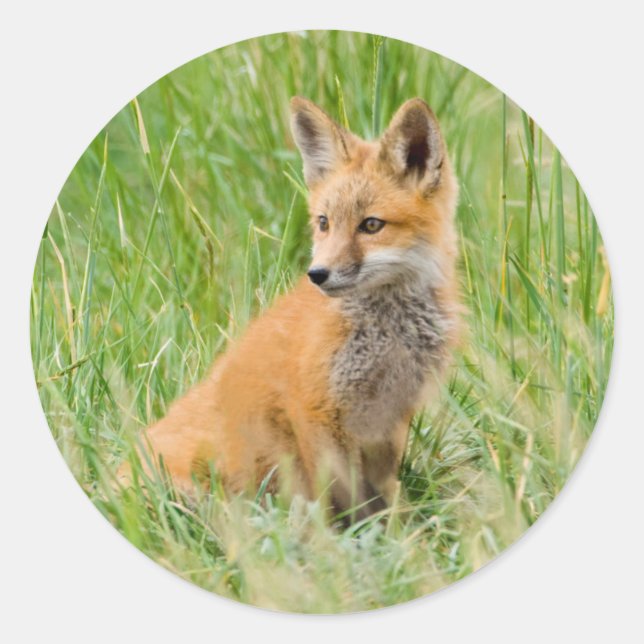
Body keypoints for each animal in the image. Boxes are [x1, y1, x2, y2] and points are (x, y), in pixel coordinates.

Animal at [120, 96, 460, 520]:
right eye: (324, 223)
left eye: (371, 225)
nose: (317, 274)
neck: (387, 333)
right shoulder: (314, 409)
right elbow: (342, 496)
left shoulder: (390, 418)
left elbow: (383, 493)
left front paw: (400, 527)